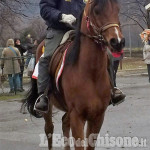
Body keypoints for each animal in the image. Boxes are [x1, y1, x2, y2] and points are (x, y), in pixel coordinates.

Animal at [25, 0, 125, 149]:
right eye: (96, 11)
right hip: (48, 109)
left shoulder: (97, 116)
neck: (91, 74)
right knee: (49, 129)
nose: (118, 42)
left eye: (117, 10)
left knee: (64, 122)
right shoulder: (77, 117)